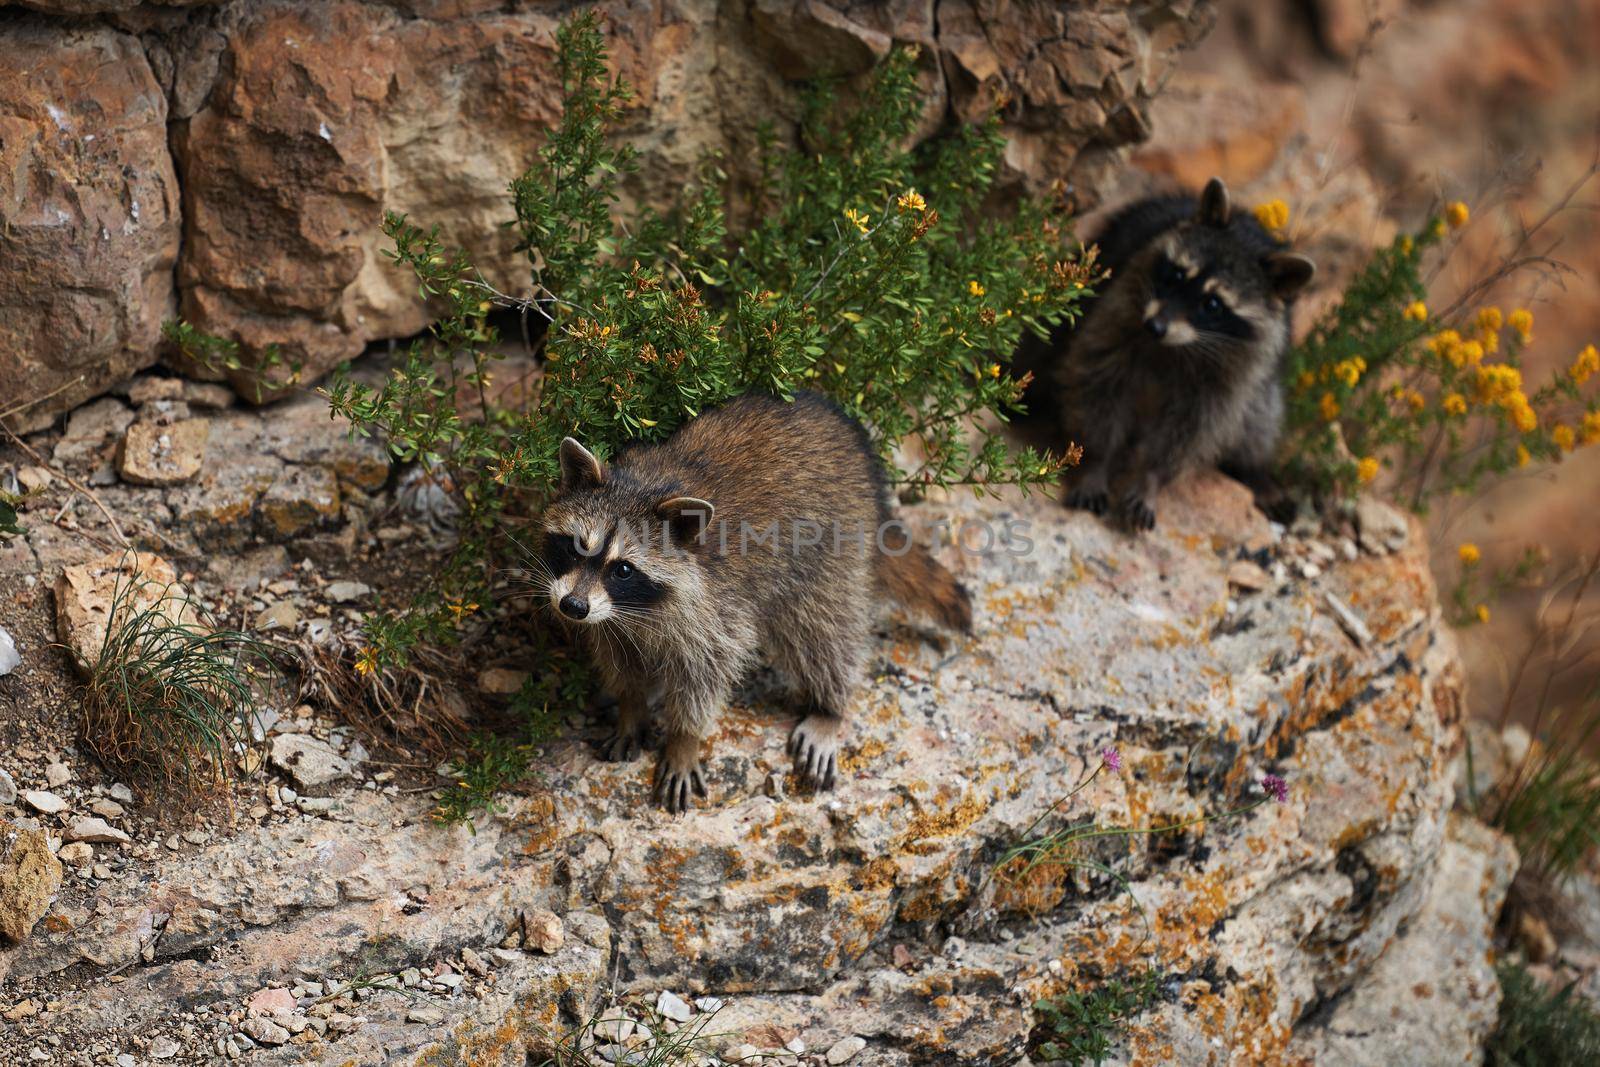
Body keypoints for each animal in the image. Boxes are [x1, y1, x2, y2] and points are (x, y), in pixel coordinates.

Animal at [537, 391, 966, 819]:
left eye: (623, 569)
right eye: (576, 547)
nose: (572, 607)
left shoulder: (716, 606)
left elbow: (706, 672)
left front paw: (684, 738)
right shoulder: (610, 617)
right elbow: (619, 655)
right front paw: (631, 707)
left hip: (832, 542)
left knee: (823, 629)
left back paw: (829, 706)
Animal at [1017, 177, 1318, 531]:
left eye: (1212, 304)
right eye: (1177, 275)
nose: (1155, 326)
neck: (1178, 345)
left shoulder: (1236, 370)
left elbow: (1193, 429)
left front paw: (1151, 479)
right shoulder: (1121, 305)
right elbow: (1099, 383)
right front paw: (1097, 461)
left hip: (1262, 383)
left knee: (1260, 416)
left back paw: (1255, 472)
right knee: (1044, 349)